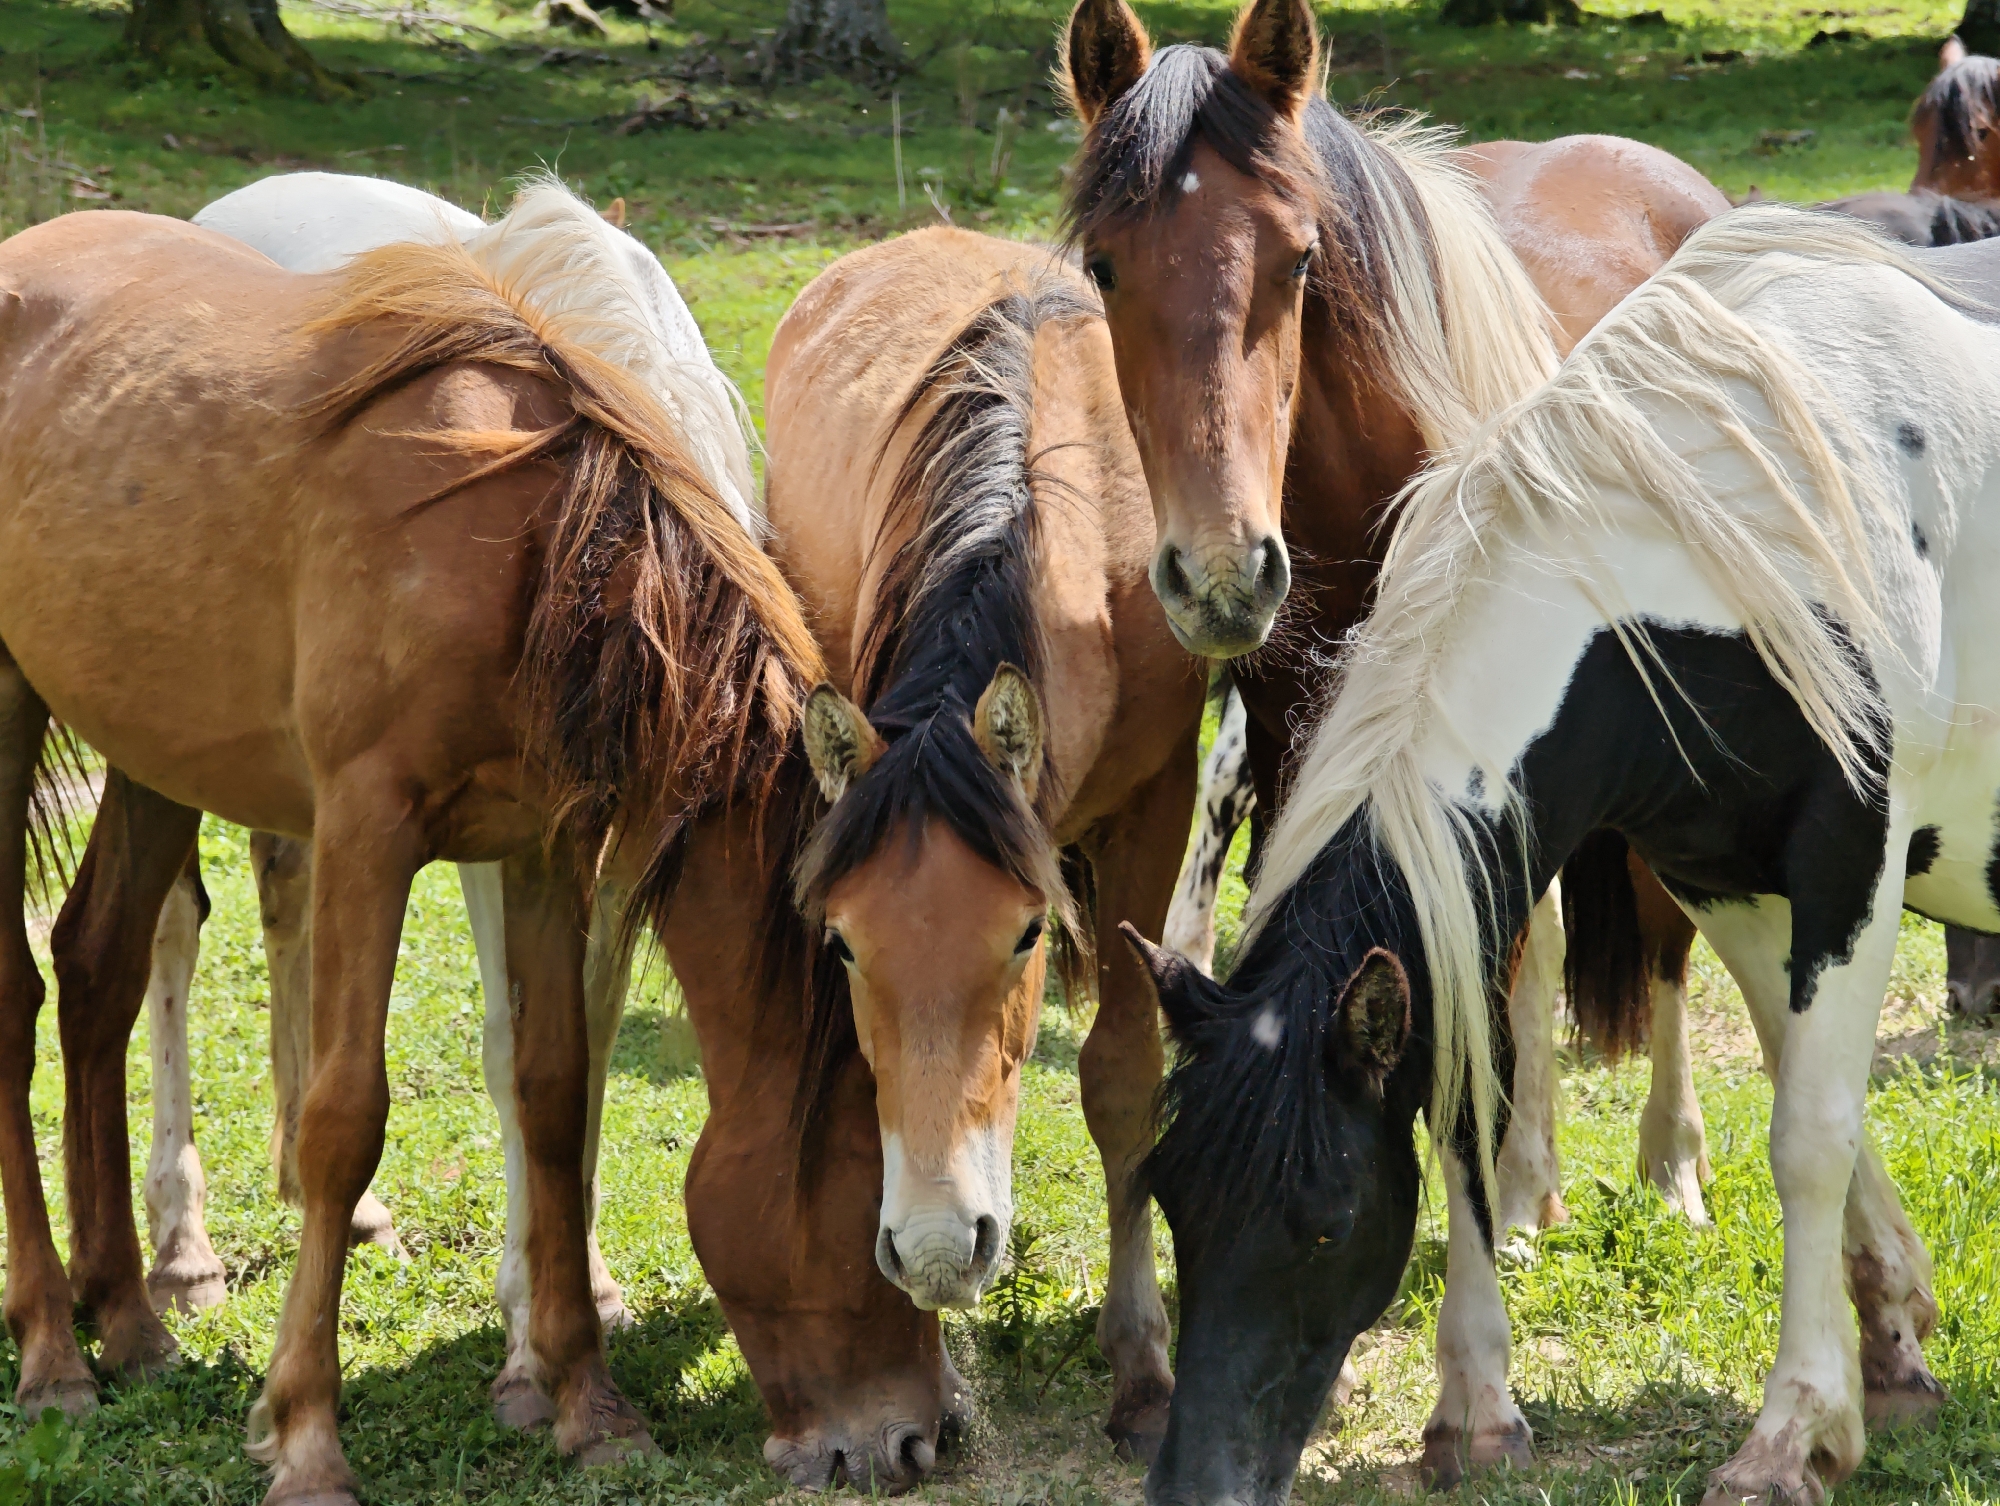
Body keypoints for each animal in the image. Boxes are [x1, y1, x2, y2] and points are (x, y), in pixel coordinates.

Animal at [0, 207, 820, 1505]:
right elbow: (341, 1121)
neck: (521, 551)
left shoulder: (547, 846)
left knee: (97, 968)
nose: (917, 1434)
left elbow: (551, 1092)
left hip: (151, 750)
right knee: (19, 997)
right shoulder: (367, 835)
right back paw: (50, 1350)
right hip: (13, 709)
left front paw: (588, 1404)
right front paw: (303, 1432)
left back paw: (127, 1317)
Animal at [761, 227, 1204, 1466]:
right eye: (843, 947)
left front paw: (1142, 1370)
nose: (932, 1246)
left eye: (1021, 938)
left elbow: (1122, 1074)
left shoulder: (1156, 803)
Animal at [1125, 207, 1991, 1506]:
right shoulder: (1719, 875)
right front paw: (1883, 1343)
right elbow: (1777, 1085)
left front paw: (1790, 1432)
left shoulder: (1851, 865)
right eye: (1174, 1199)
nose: (1194, 1486)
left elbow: (1807, 1136)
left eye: (1324, 1222)